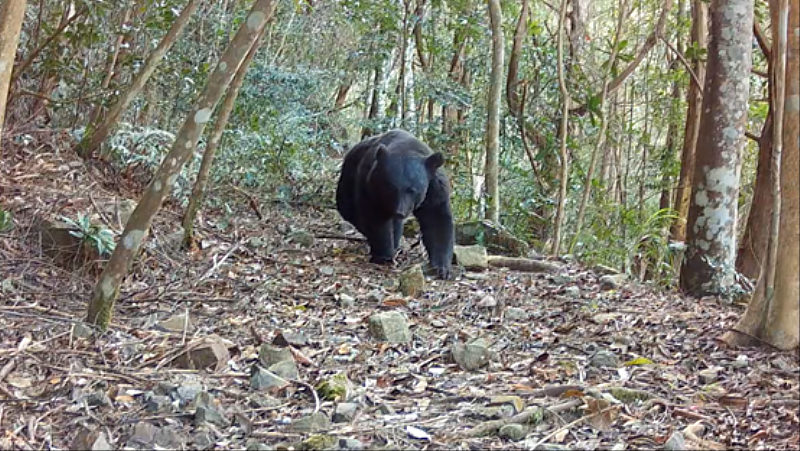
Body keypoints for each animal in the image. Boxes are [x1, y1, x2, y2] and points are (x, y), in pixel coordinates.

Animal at [336, 129, 454, 279]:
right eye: (391, 188)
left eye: (412, 190)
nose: (400, 212)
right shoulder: (370, 186)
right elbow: (376, 220)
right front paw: (384, 255)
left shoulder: (434, 190)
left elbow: (436, 220)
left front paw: (441, 268)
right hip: (348, 181)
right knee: (349, 210)